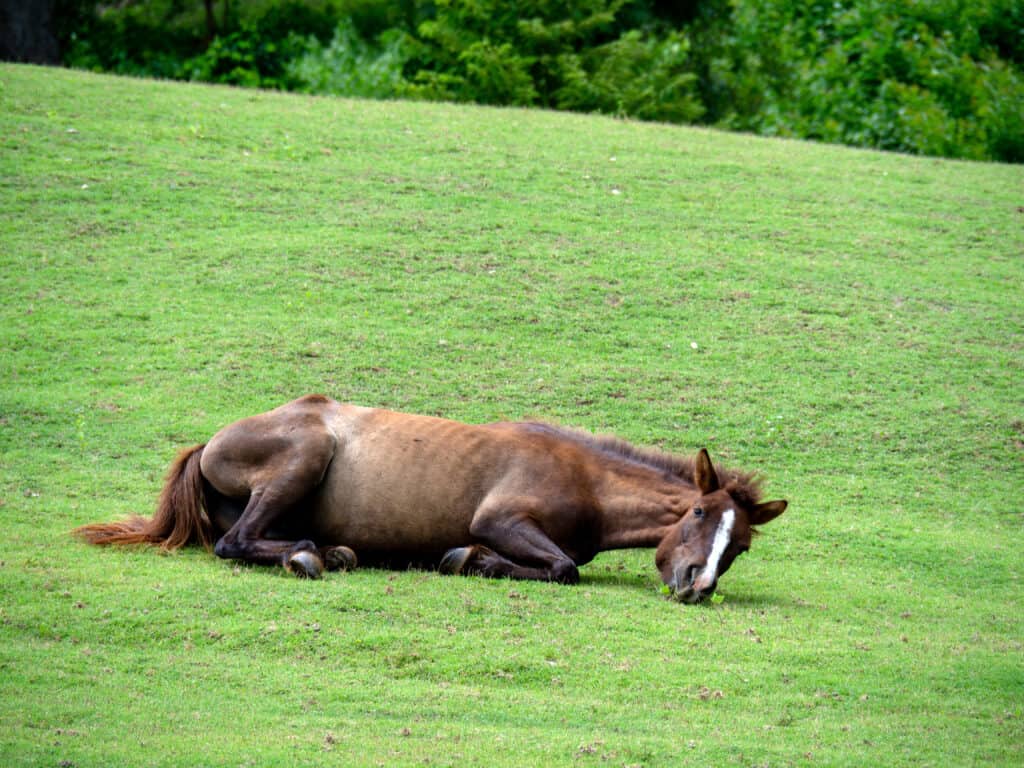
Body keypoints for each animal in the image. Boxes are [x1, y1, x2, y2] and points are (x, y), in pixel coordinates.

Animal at [75, 397, 786, 606]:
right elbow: (562, 568)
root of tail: (209, 444)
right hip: (303, 458)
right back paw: (309, 556)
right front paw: (467, 559)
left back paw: (330, 551)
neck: (586, 480)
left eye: (742, 545)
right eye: (698, 512)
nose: (697, 584)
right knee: (234, 543)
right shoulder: (498, 517)